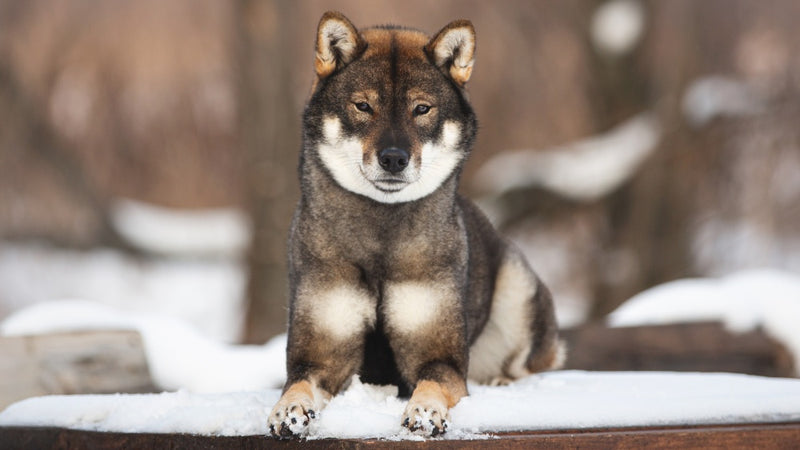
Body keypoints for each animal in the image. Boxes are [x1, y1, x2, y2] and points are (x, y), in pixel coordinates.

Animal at [268, 11, 564, 440]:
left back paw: (503, 381)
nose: (394, 158)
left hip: (517, 289)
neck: (381, 236)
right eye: (363, 106)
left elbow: (432, 383)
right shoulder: (319, 355)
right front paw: (289, 411)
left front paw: (424, 411)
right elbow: (299, 383)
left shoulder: (440, 357)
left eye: (422, 109)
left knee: (531, 363)